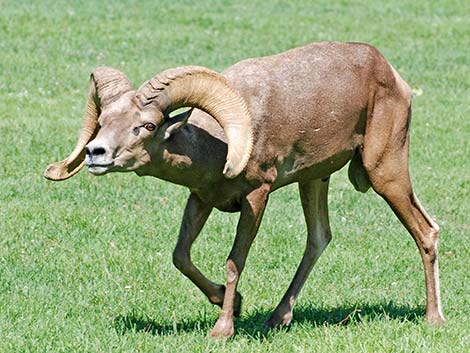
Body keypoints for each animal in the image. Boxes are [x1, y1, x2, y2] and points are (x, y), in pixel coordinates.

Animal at [44, 41, 444, 336]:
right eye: (104, 121)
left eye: (147, 126)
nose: (96, 153)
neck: (218, 143)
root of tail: (393, 75)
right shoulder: (200, 198)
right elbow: (181, 256)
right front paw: (232, 304)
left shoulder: (257, 195)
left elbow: (235, 261)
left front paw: (223, 329)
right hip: (313, 180)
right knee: (319, 238)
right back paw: (278, 317)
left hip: (385, 171)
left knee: (426, 231)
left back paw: (433, 318)